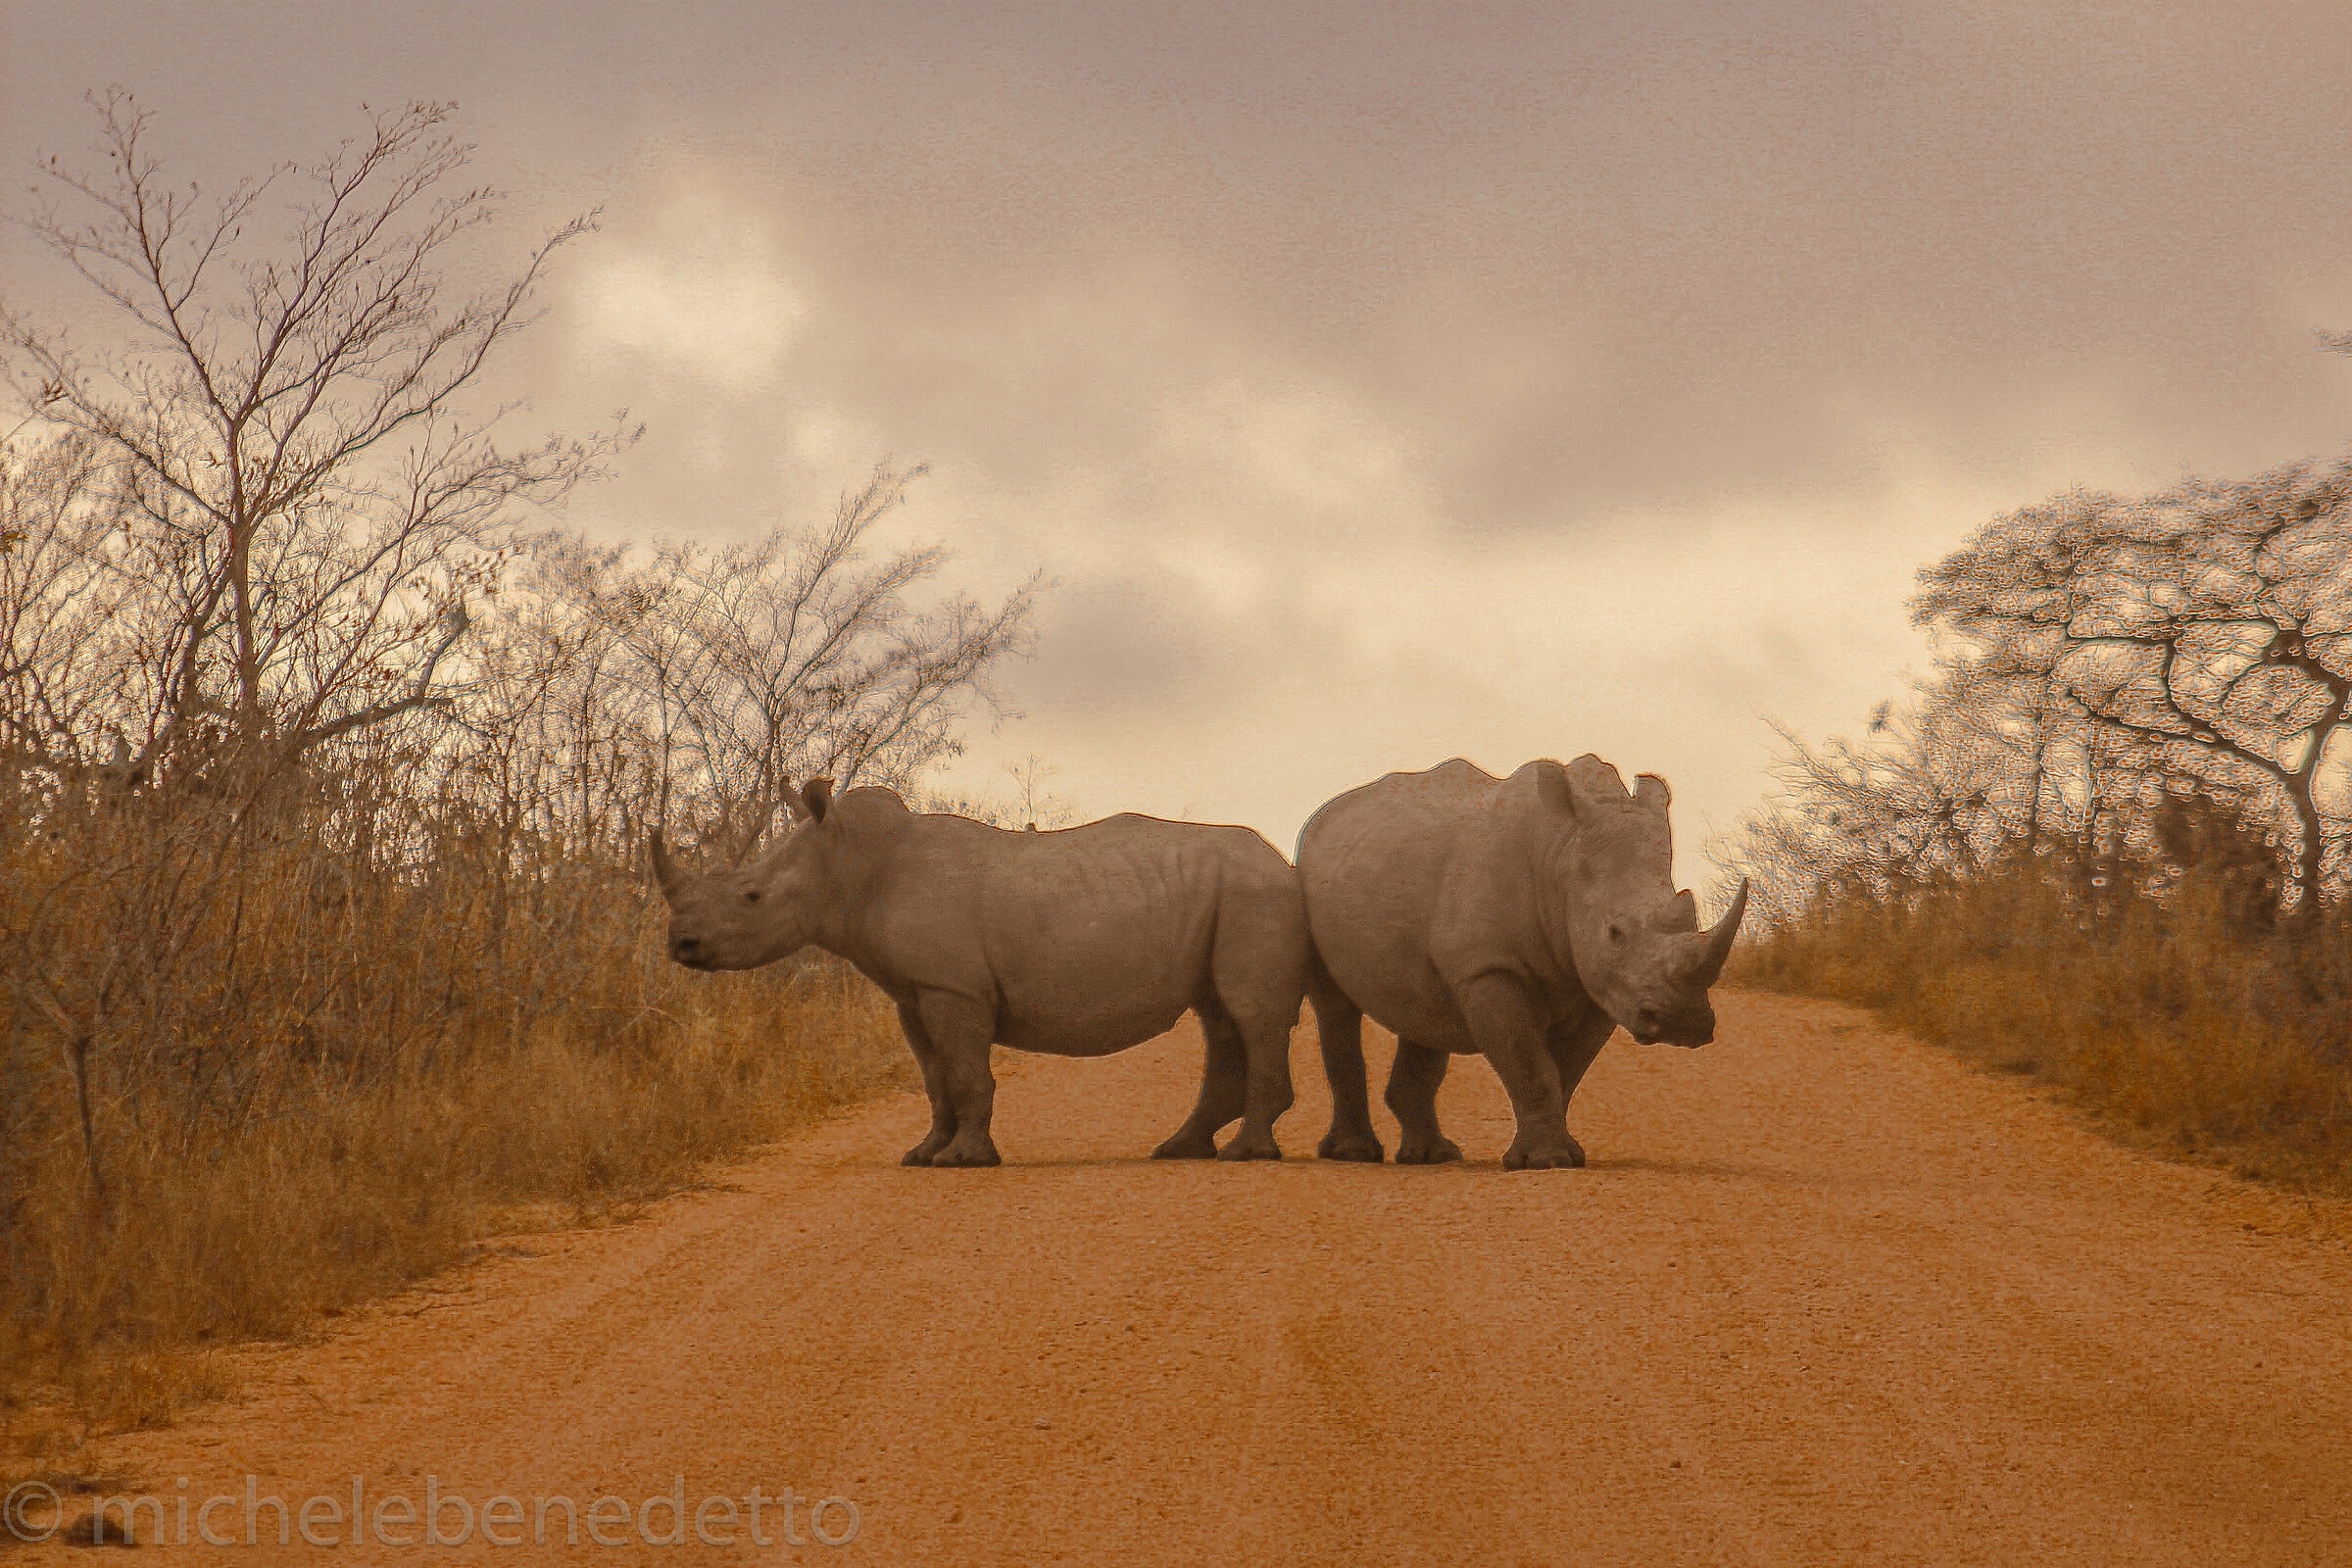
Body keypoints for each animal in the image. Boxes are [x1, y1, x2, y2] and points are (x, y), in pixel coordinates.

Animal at [649, 780, 1308, 1167]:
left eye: (751, 897)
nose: (681, 945)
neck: (848, 862)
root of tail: (1286, 863)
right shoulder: (913, 992)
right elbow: (936, 1078)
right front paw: (922, 1154)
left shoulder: (953, 987)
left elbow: (966, 1073)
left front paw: (963, 1161)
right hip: (1229, 896)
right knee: (1219, 1017)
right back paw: (1180, 1150)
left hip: (1253, 894)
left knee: (1249, 1014)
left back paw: (1244, 1155)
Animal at [1296, 756, 1747, 1170]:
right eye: (1615, 933)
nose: (1683, 1023)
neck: (1562, 855)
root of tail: (1326, 812)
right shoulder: (1490, 967)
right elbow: (1528, 1062)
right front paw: (1546, 1161)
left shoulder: (1601, 985)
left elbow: (1565, 1070)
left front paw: (1564, 1156)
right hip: (1309, 874)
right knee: (1335, 1009)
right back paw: (1355, 1155)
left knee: (1422, 1012)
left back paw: (1432, 1157)